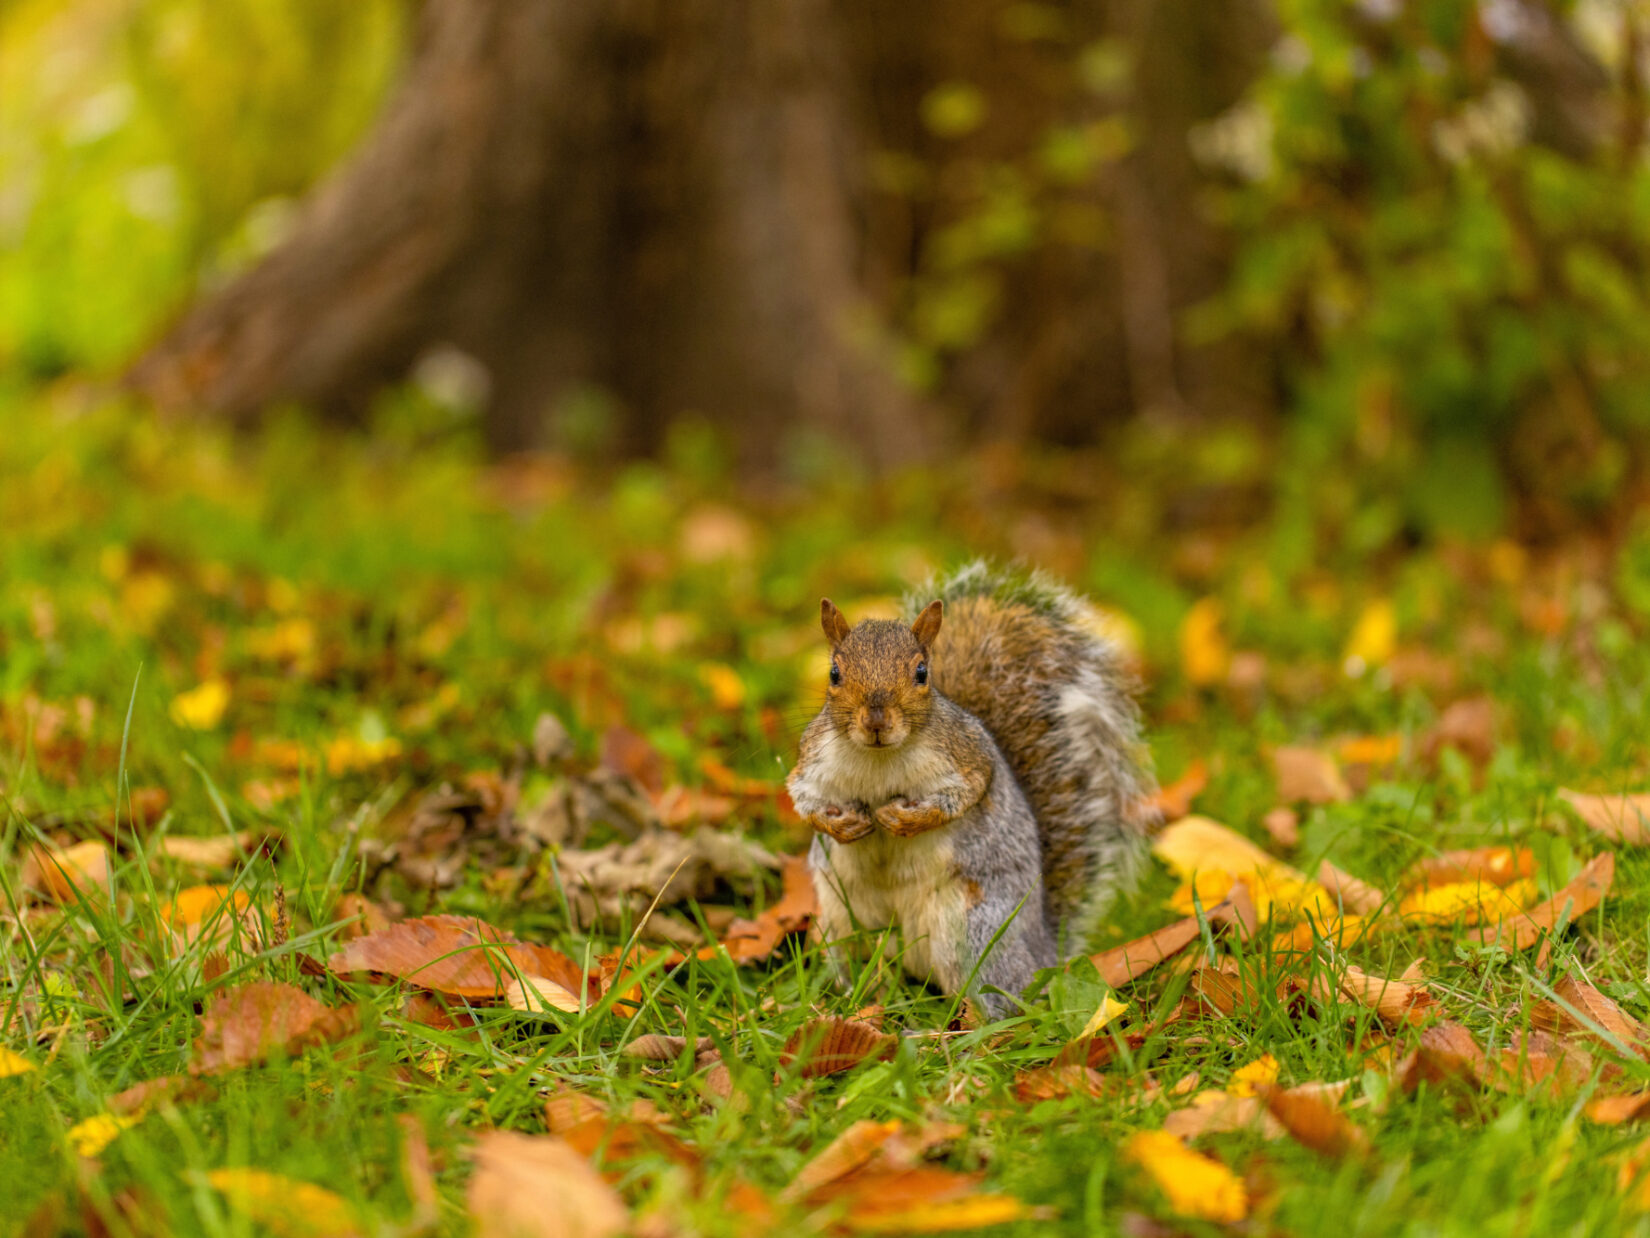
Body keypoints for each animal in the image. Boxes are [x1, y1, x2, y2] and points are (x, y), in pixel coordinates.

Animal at [788, 561, 1161, 1016]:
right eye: (834, 673)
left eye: (921, 673)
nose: (876, 720)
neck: (879, 758)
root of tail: (1041, 954)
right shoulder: (811, 763)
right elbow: (804, 801)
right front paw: (843, 826)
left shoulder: (968, 756)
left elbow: (965, 796)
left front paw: (904, 820)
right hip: (843, 925)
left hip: (975, 932)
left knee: (996, 999)